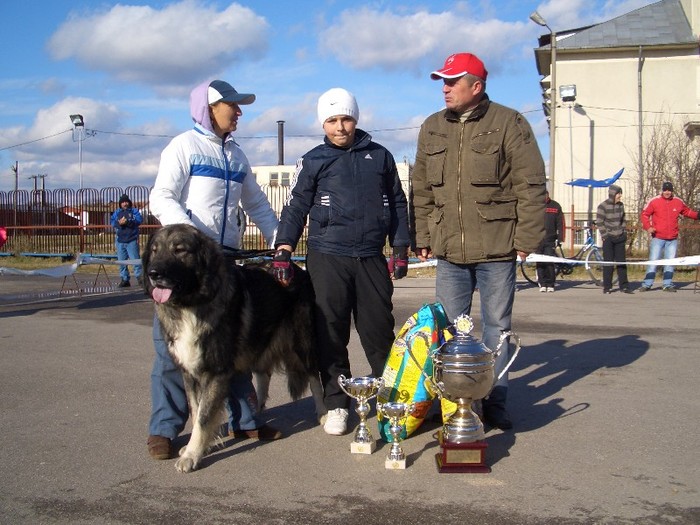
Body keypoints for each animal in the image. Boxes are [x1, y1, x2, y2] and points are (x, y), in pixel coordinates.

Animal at [143, 224, 322, 470]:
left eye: (179, 250)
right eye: (154, 250)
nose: (153, 273)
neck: (193, 304)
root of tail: (298, 270)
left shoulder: (216, 371)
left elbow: (203, 416)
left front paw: (192, 454)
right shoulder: (188, 372)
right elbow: (196, 410)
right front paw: (201, 446)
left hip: (301, 343)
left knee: (314, 376)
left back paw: (324, 414)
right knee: (263, 374)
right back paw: (257, 413)